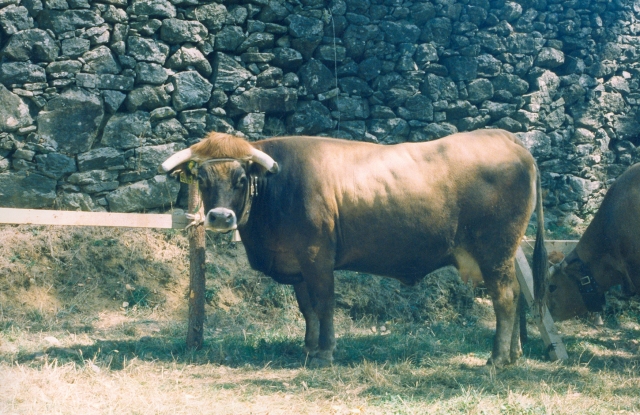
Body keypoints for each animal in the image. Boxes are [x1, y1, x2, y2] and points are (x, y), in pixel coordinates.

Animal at [162, 129, 548, 368]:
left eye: (241, 179)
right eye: (202, 179)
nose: (219, 216)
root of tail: (507, 139)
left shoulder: (317, 258)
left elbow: (324, 305)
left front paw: (324, 353)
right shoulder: (299, 266)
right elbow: (308, 309)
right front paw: (308, 348)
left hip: (494, 251)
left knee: (505, 299)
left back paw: (496, 358)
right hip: (506, 255)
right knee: (515, 296)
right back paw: (514, 354)